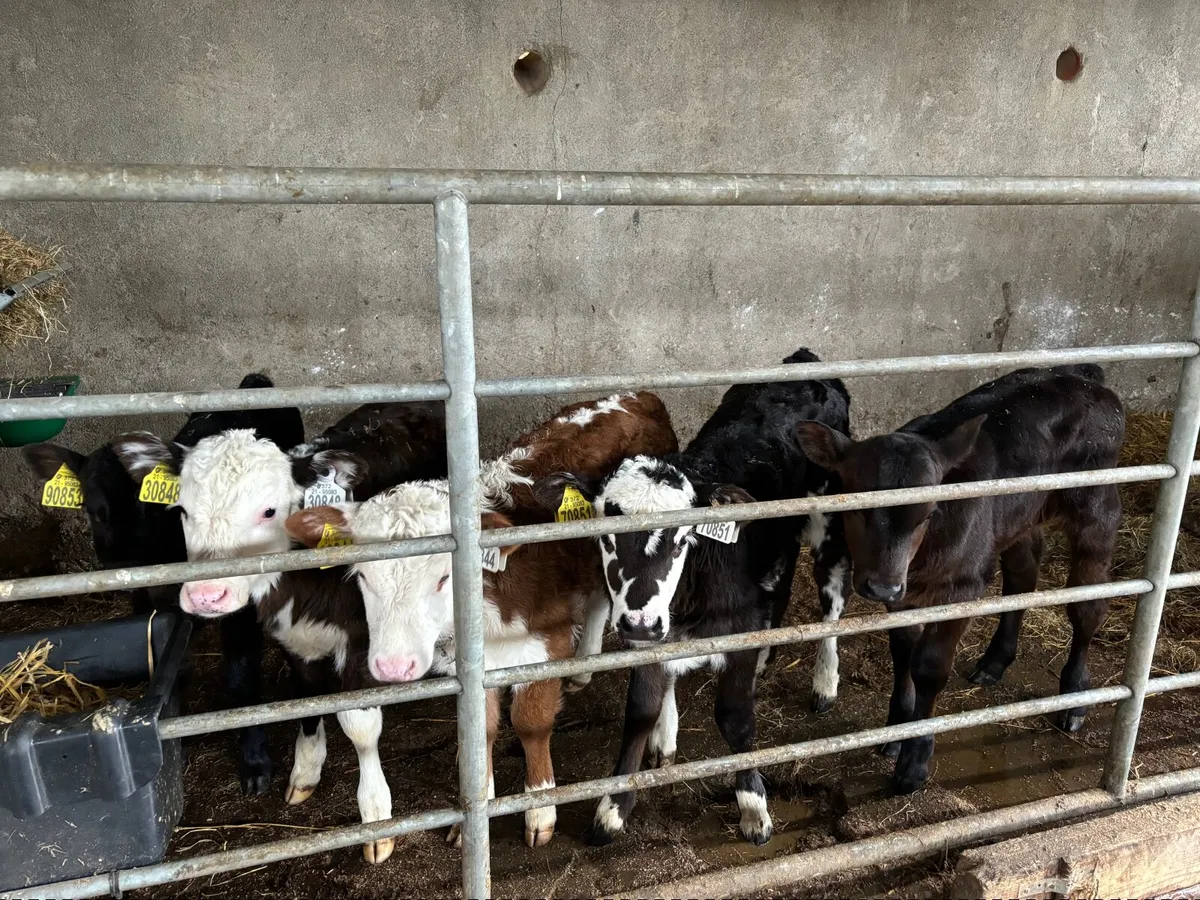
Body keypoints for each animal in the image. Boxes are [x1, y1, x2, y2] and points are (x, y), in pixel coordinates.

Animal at [22, 373, 304, 796]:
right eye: (93, 511)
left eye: (153, 508)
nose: (122, 564)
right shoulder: (149, 600)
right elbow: (168, 660)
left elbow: (240, 678)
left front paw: (255, 762)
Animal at [106, 401, 447, 864]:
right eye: (183, 511)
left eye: (269, 511)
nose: (206, 595)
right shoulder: (293, 637)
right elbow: (305, 698)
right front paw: (306, 770)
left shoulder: (365, 637)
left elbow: (359, 725)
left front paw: (376, 818)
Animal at [284, 390, 678, 849]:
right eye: (362, 575)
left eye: (443, 577)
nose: (392, 665)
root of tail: (638, 395)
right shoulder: (472, 663)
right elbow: (481, 730)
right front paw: (477, 810)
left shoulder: (547, 637)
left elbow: (531, 723)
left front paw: (540, 808)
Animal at [533, 348, 853, 847]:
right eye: (605, 533)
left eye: (683, 537)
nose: (639, 623)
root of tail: (805, 359)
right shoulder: (647, 634)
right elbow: (640, 710)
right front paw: (613, 807)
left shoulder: (733, 626)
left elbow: (734, 717)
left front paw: (753, 807)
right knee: (779, 586)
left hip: (829, 520)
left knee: (832, 604)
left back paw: (824, 681)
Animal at [795, 363, 1123, 795]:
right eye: (860, 508)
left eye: (928, 512)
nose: (882, 585)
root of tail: (1082, 376)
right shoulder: (906, 592)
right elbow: (903, 651)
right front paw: (897, 729)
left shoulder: (960, 587)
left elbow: (930, 666)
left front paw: (914, 760)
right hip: (1017, 518)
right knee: (1023, 572)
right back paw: (995, 661)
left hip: (1097, 509)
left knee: (1088, 605)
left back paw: (1074, 697)